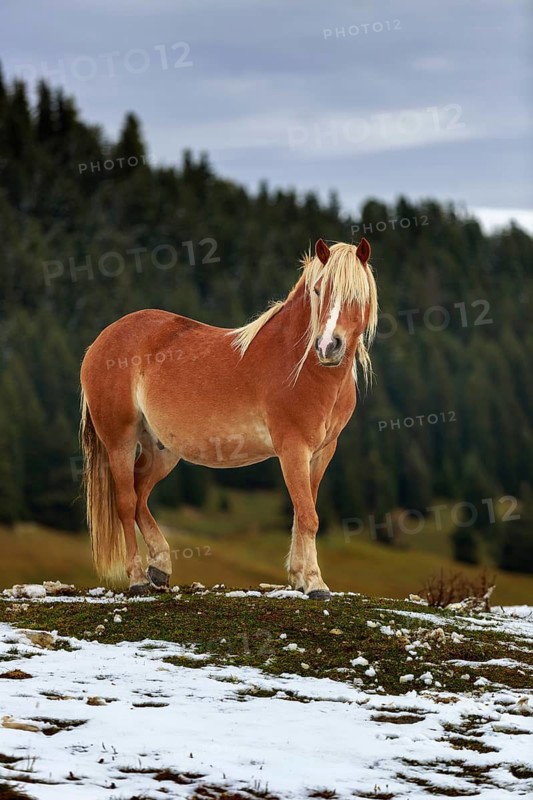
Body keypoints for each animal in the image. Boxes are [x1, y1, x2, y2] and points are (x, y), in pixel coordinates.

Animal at [80, 238, 378, 598]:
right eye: (319, 290)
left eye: (357, 294)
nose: (327, 347)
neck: (303, 366)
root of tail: (100, 341)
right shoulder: (293, 449)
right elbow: (308, 515)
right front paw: (314, 582)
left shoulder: (322, 451)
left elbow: (302, 511)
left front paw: (298, 577)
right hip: (120, 441)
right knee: (125, 501)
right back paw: (137, 578)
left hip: (162, 450)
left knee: (140, 495)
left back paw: (160, 568)